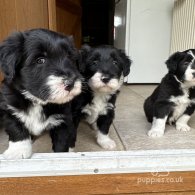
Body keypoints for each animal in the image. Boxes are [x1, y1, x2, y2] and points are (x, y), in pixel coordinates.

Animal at [0, 28, 82, 158]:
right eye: (40, 60)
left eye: (69, 57)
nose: (70, 83)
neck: (37, 101)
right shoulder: (10, 109)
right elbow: (16, 128)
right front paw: (18, 151)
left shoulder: (63, 119)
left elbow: (62, 141)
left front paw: (62, 156)